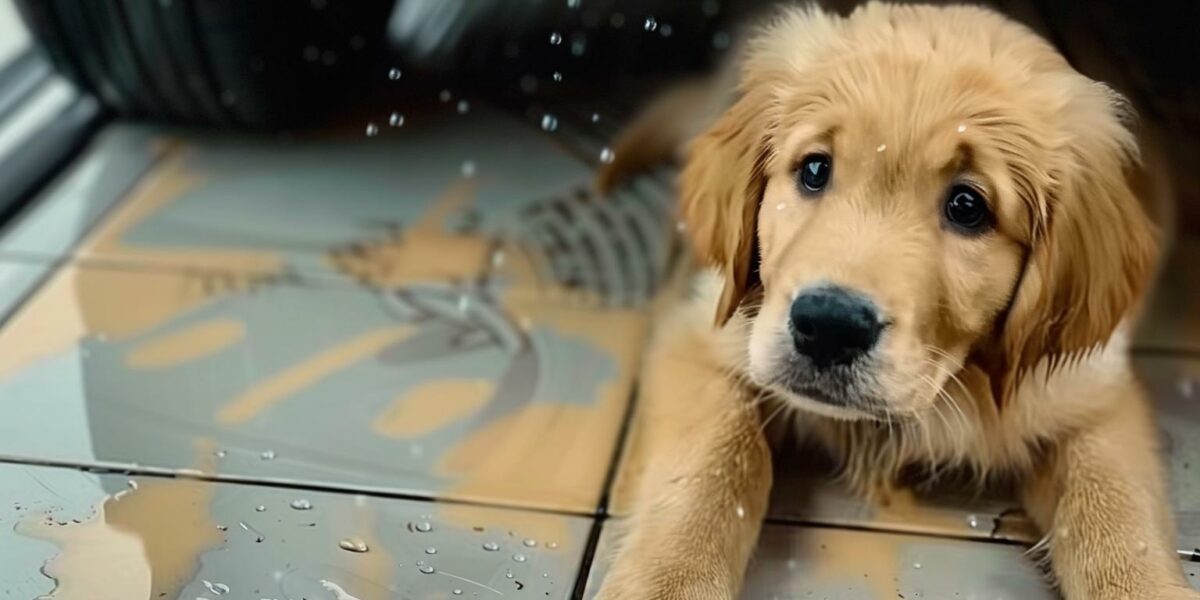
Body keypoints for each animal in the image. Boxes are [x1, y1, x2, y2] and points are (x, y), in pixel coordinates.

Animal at [592, 2, 1200, 597]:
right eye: (815, 169)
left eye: (967, 206)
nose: (829, 327)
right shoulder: (705, 332)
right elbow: (716, 465)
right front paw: (668, 581)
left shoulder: (1092, 392)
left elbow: (1118, 514)